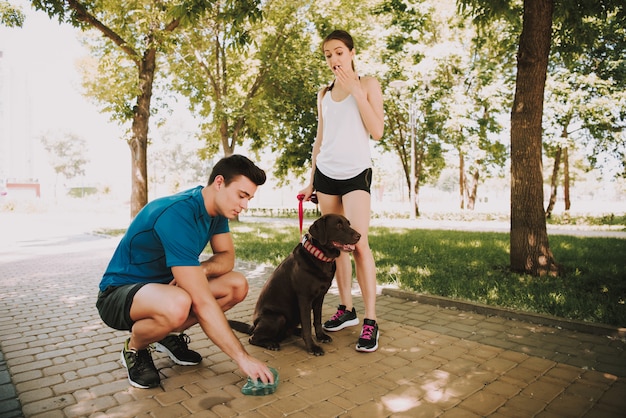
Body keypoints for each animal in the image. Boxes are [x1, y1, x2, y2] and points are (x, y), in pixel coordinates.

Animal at [229, 216, 358, 356]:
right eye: (338, 225)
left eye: (348, 224)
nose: (359, 236)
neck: (319, 257)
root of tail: (254, 325)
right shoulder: (304, 299)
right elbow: (307, 326)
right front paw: (313, 347)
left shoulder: (320, 298)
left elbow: (317, 320)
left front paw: (321, 336)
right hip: (277, 318)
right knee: (253, 338)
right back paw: (271, 344)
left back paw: (295, 331)